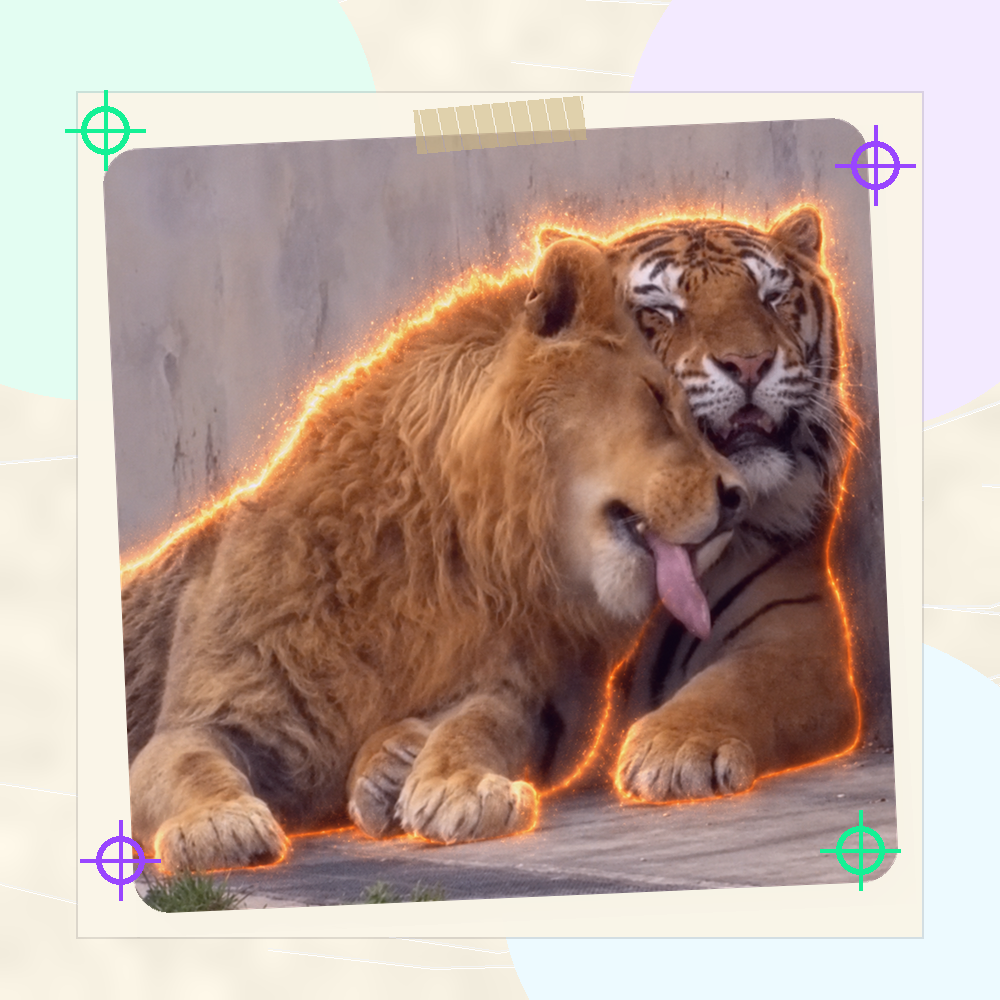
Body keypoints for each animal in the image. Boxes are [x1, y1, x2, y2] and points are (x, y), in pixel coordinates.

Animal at [122, 238, 748, 873]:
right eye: (656, 398)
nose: (738, 495)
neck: (456, 557)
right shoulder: (211, 715)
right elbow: (186, 764)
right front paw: (216, 825)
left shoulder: (519, 694)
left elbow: (481, 725)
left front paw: (447, 782)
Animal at [540, 206, 860, 802]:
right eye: (661, 309)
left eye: (771, 296)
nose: (750, 363)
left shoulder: (794, 636)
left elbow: (739, 684)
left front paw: (677, 749)